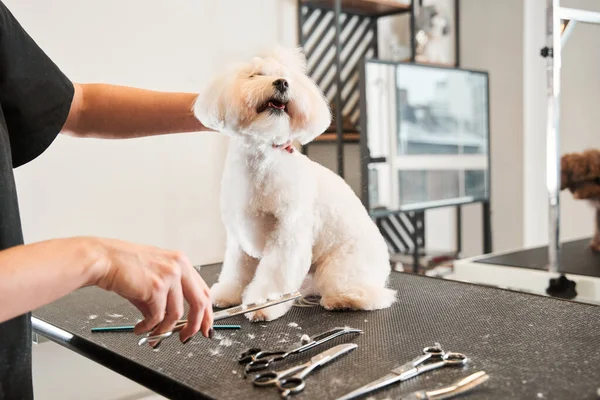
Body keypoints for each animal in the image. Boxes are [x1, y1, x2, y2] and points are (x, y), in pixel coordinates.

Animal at [195, 47, 396, 322]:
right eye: (256, 75)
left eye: (287, 78)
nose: (282, 83)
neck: (260, 161)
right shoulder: (238, 237)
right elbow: (236, 271)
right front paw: (227, 295)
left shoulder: (287, 234)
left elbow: (274, 274)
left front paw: (263, 305)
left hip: (343, 264)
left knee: (369, 293)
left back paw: (345, 298)